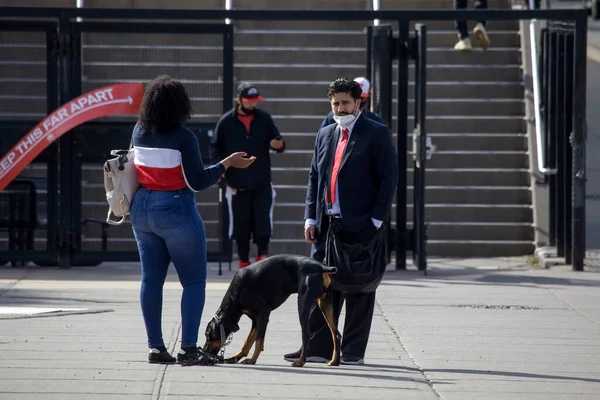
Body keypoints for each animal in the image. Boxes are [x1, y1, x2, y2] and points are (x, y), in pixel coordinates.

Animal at [203, 255, 340, 368]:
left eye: (208, 335)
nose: (204, 351)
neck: (233, 298)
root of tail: (322, 267)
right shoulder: (255, 319)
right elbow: (248, 340)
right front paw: (236, 357)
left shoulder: (264, 313)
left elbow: (258, 341)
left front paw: (252, 360)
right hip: (325, 303)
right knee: (336, 334)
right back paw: (335, 361)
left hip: (303, 304)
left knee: (306, 333)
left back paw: (300, 361)